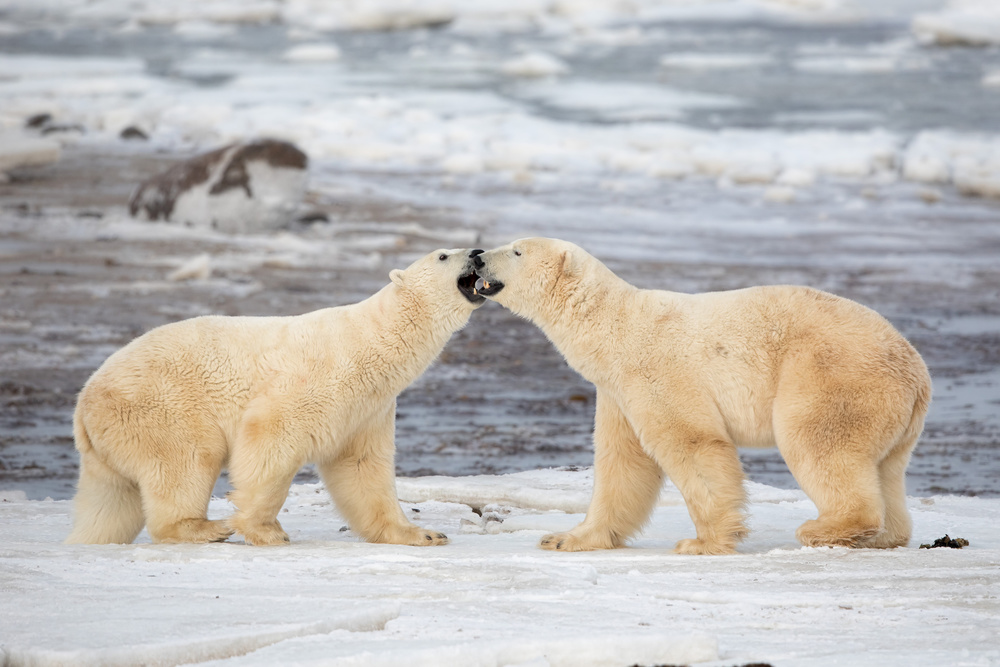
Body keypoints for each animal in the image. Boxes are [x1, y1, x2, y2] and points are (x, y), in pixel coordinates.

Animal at [66, 248, 488, 544]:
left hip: (112, 443)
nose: (478, 252)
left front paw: (425, 533)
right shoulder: (317, 378)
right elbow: (271, 441)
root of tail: (84, 405)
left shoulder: (368, 409)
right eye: (444, 255)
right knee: (186, 459)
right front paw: (264, 529)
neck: (371, 342)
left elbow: (362, 468)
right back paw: (207, 528)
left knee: (109, 504)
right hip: (159, 407)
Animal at [464, 237, 932, 556]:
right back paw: (886, 535)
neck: (614, 329)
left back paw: (824, 528)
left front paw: (703, 541)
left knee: (816, 441)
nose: (477, 255)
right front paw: (566, 537)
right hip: (891, 412)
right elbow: (622, 463)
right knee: (887, 468)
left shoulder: (656, 370)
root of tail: (917, 373)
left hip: (830, 375)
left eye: (517, 251)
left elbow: (691, 442)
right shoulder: (616, 391)